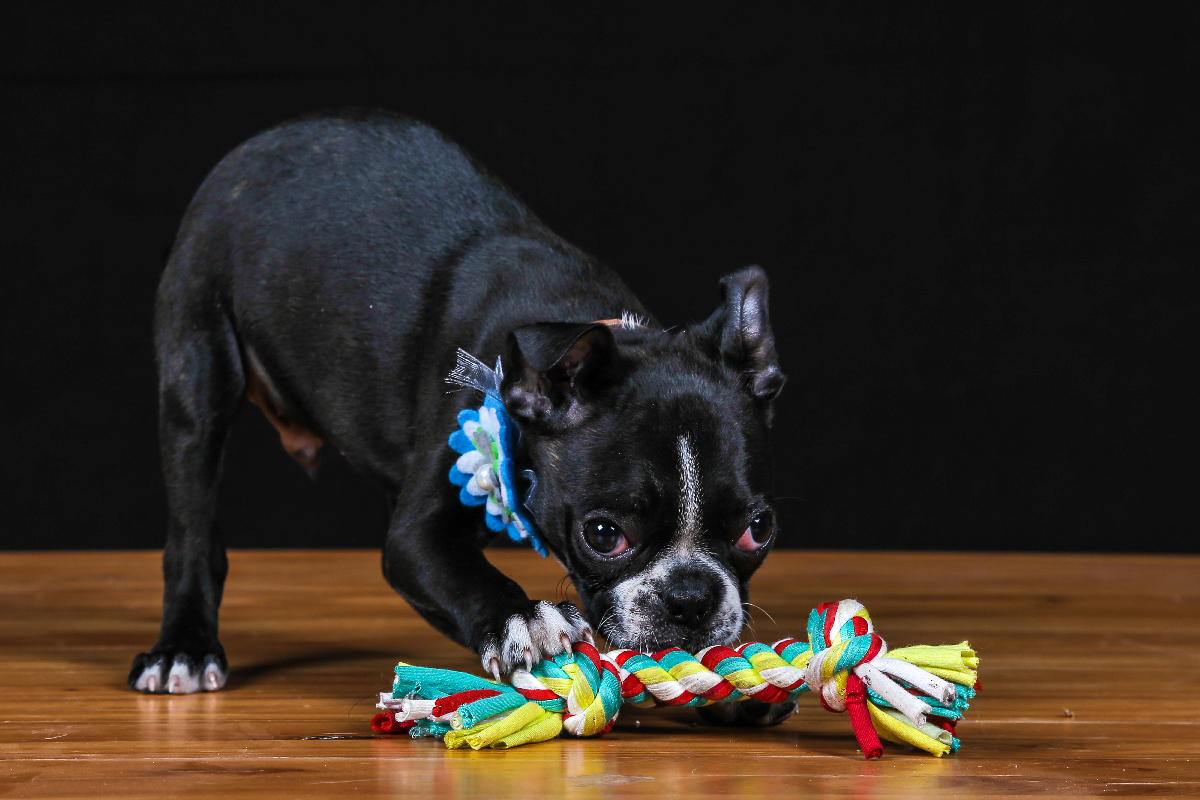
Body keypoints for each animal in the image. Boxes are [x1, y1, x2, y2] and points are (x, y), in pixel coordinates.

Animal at [131, 110, 787, 700]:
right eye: (605, 535)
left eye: (759, 530)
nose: (691, 599)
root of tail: (257, 145)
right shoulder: (417, 537)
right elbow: (459, 573)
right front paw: (523, 618)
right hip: (197, 370)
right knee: (193, 528)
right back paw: (183, 651)